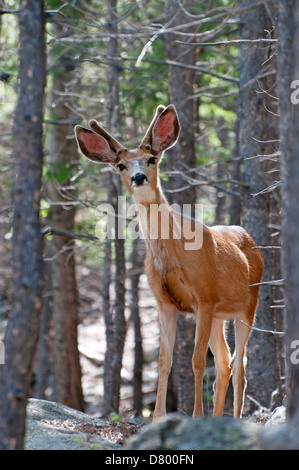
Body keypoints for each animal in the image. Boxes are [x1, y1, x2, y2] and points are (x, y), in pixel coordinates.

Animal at [75, 105, 264, 418]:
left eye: (151, 159)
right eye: (121, 165)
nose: (139, 177)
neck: (172, 252)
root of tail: (252, 240)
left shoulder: (204, 298)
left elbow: (197, 360)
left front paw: (196, 416)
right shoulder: (165, 302)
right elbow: (165, 360)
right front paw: (157, 417)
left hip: (248, 307)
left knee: (239, 366)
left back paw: (233, 418)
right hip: (220, 316)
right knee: (224, 362)